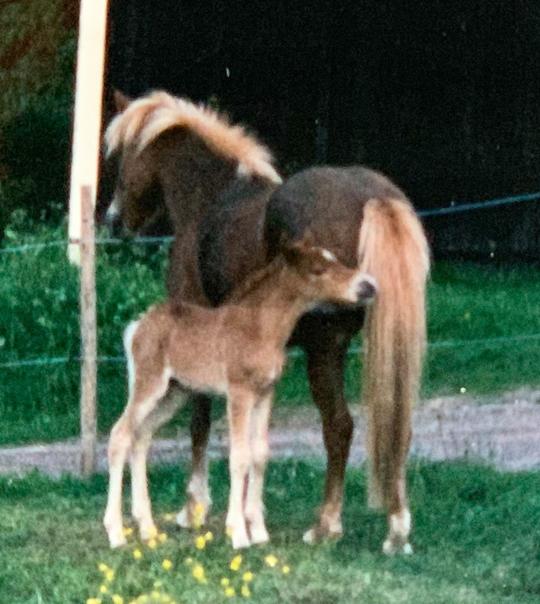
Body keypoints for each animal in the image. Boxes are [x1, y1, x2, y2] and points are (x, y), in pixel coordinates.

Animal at [103, 235, 377, 549]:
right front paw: (238, 534)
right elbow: (239, 456)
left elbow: (259, 454)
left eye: (337, 260)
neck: (261, 329)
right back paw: (116, 533)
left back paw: (147, 528)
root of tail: (138, 326)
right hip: (149, 386)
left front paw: (258, 532)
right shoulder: (239, 394)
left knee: (141, 437)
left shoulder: (265, 394)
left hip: (173, 394)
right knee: (120, 435)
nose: (367, 286)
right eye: (318, 269)